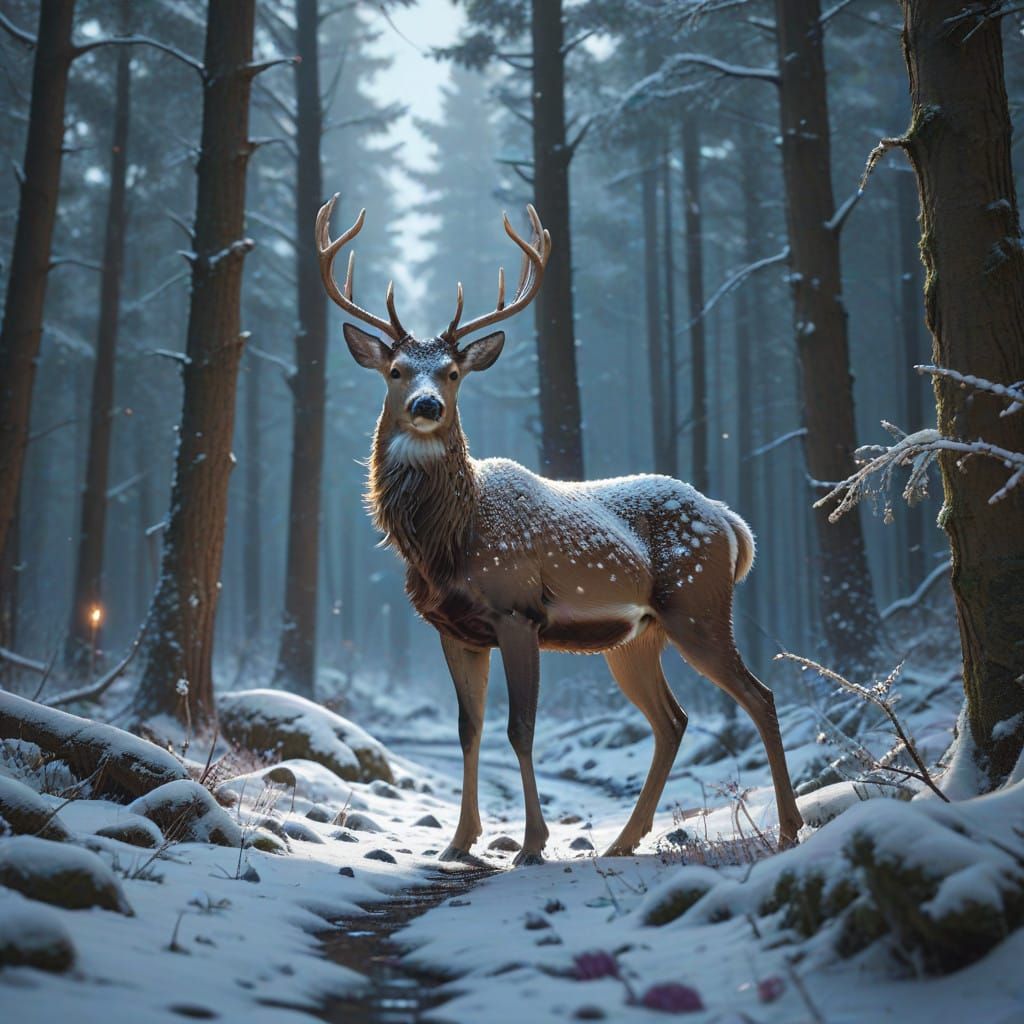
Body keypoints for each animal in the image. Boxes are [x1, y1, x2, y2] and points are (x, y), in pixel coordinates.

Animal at [316, 194, 804, 865]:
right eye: (394, 369)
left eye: (452, 373)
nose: (425, 406)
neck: (450, 542)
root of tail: (733, 524)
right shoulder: (454, 629)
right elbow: (470, 729)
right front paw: (459, 843)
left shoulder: (518, 611)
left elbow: (521, 729)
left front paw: (531, 845)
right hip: (636, 637)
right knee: (673, 719)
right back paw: (623, 841)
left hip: (699, 607)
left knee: (760, 696)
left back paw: (786, 830)